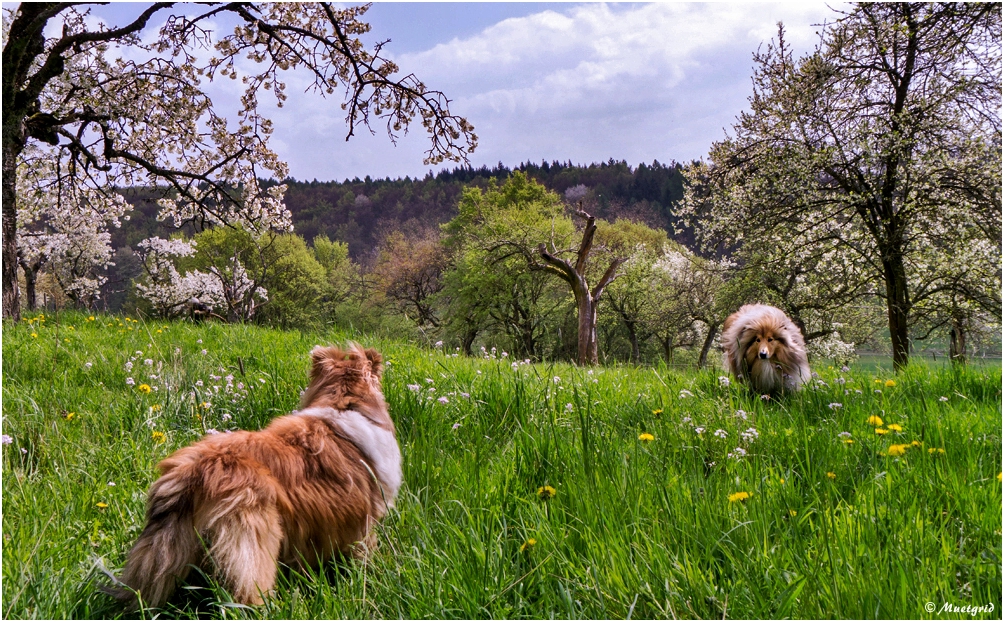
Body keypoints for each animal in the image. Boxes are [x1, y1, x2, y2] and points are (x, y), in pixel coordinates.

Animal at [111, 345, 401, 613]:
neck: (345, 403)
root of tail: (195, 470)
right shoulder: (364, 520)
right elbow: (365, 551)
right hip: (253, 535)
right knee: (248, 587)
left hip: (169, 543)